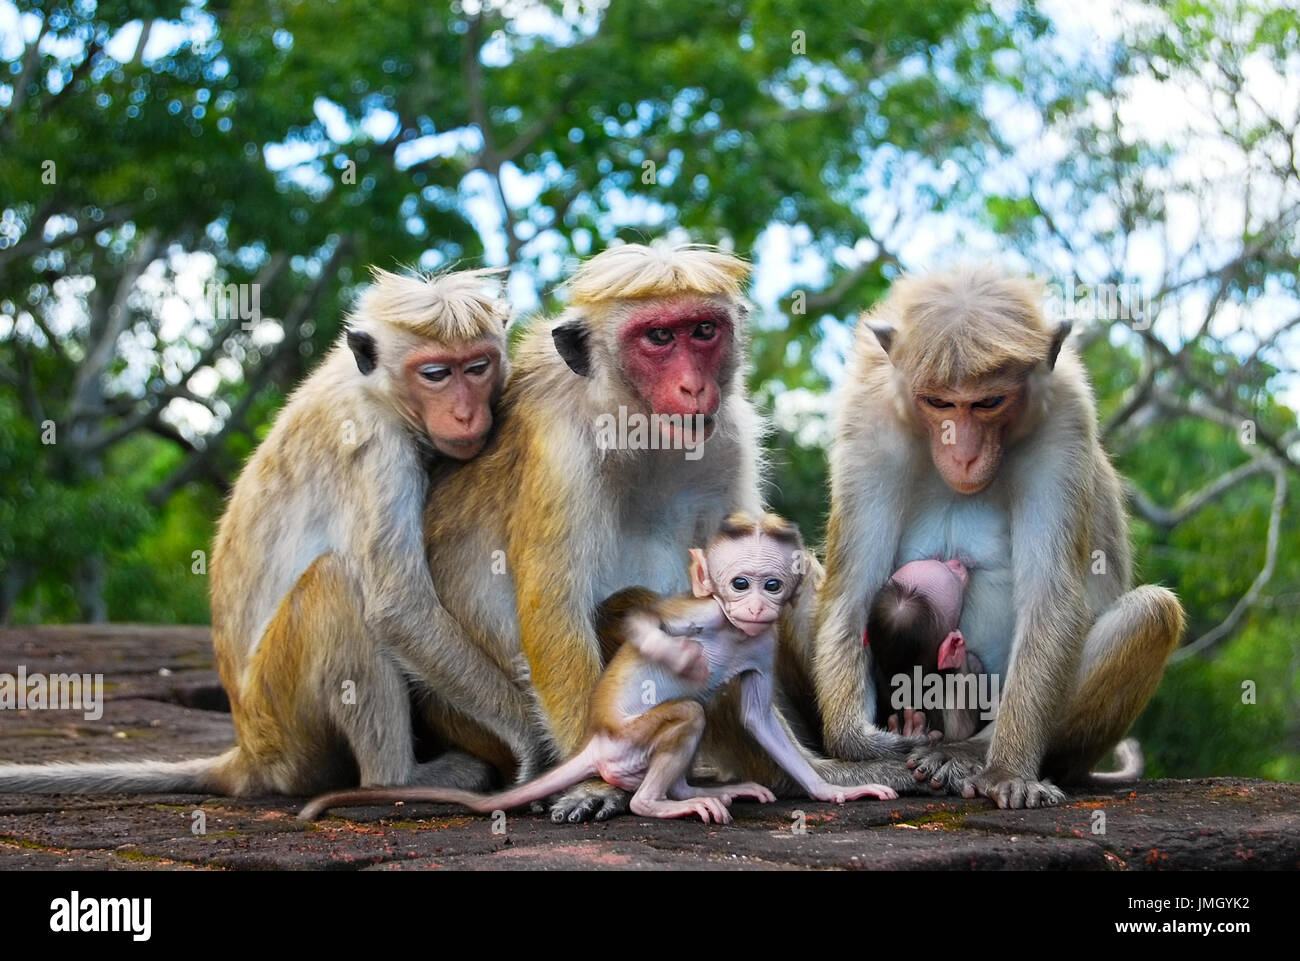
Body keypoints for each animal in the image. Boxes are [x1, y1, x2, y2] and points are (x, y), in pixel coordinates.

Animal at [0, 267, 543, 796]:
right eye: (435, 374)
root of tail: (250, 753)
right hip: (283, 720)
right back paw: (400, 779)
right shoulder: (375, 444)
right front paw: (534, 741)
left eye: (477, 367)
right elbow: (397, 607)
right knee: (334, 586)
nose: (465, 413)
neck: (377, 391)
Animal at [299, 513, 897, 822]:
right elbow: (641, 619)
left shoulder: (759, 645)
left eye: (771, 585)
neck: (733, 629)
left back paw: (690, 793)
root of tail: (597, 741)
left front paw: (832, 790)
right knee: (687, 715)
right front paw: (680, 658)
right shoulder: (700, 612)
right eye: (739, 583)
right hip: (630, 740)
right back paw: (658, 804)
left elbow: (760, 718)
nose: (753, 607)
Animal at [415, 242, 918, 822]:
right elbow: (554, 610)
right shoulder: (559, 444)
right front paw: (593, 782)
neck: (635, 425)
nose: (693, 385)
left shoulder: (729, 436)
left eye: (702, 330)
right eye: (657, 337)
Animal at [809, 266, 1185, 808]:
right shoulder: (869, 424)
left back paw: (968, 753)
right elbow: (852, 589)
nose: (964, 454)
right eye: (938, 401)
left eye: (988, 402)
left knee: (1152, 612)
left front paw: (1007, 770)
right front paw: (861, 743)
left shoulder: (1063, 422)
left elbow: (1051, 594)